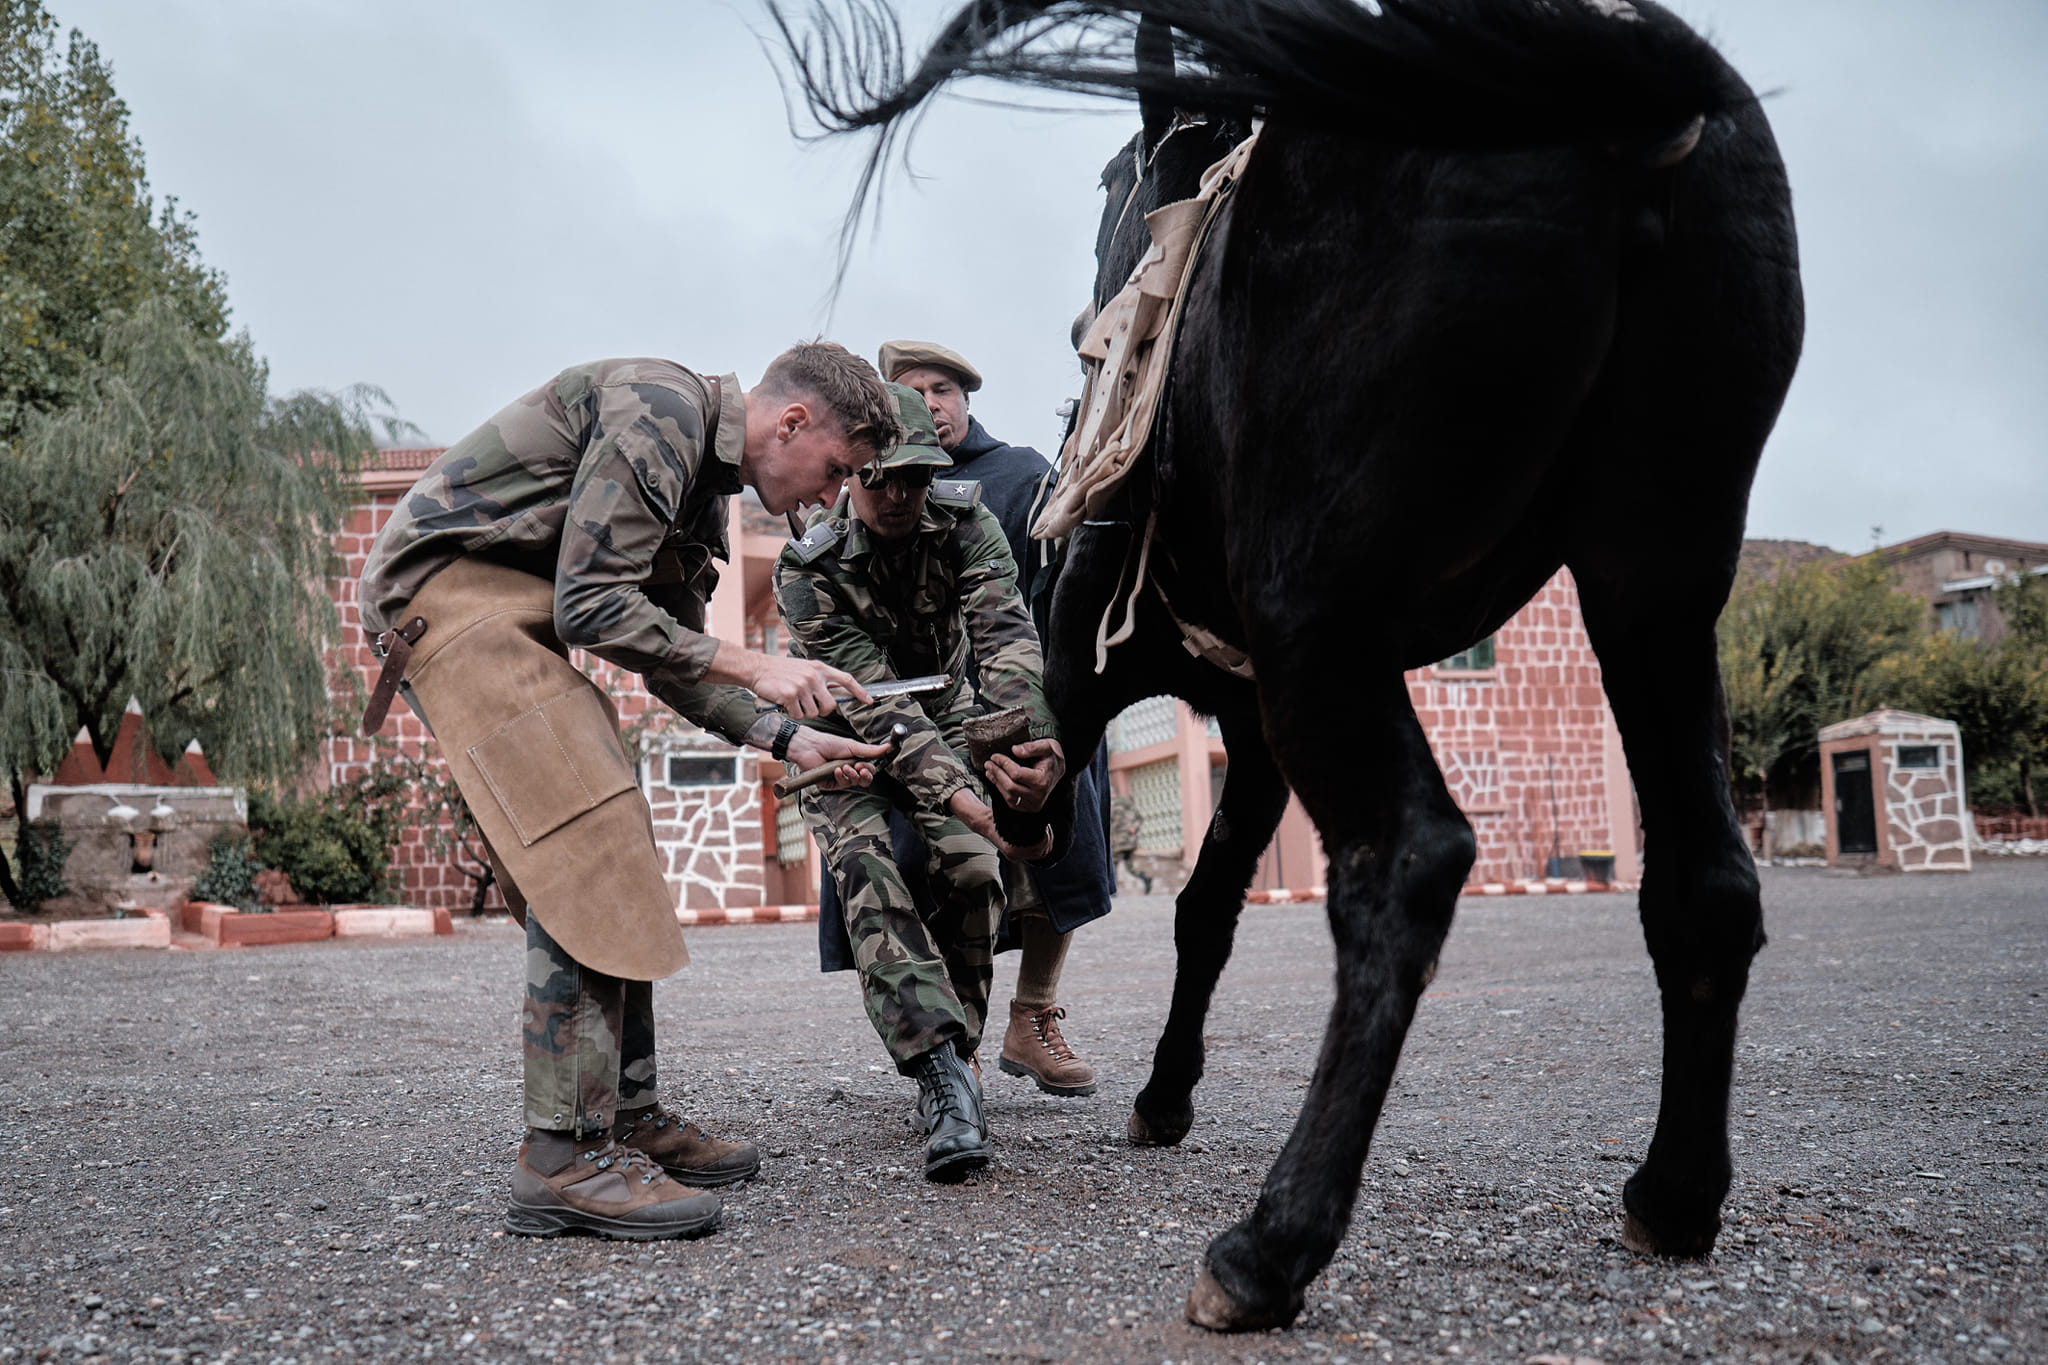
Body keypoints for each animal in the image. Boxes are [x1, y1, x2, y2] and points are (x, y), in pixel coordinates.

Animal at [774, 0, 1802, 1334]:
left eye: (1111, 182)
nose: (1085, 334)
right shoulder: (1250, 729)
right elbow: (1204, 907)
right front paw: (1162, 1091)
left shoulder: (1099, 673)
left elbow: (1063, 834)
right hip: (1652, 590)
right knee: (1705, 878)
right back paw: (1673, 1194)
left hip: (1332, 623)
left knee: (1406, 864)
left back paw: (1270, 1244)